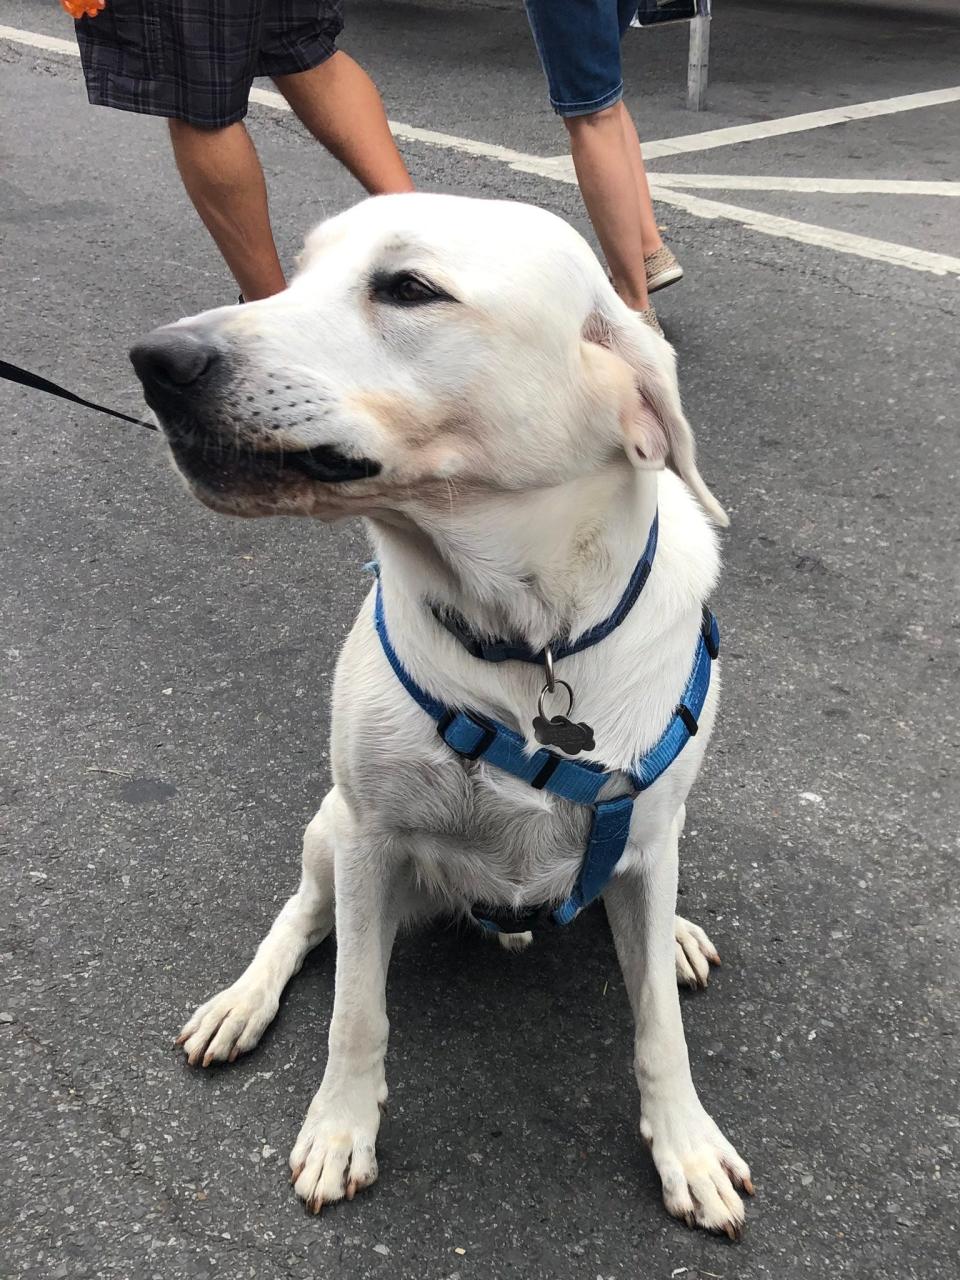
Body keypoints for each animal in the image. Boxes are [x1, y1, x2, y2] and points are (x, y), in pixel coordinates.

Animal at [129, 194, 752, 1233]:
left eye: (410, 287)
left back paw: (674, 937)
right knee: (300, 918)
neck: (529, 641)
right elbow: (356, 1012)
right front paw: (341, 1128)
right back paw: (242, 1002)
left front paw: (686, 1144)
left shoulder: (648, 826)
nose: (156, 359)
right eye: (294, 273)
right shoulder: (370, 839)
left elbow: (658, 1024)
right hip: (328, 831)